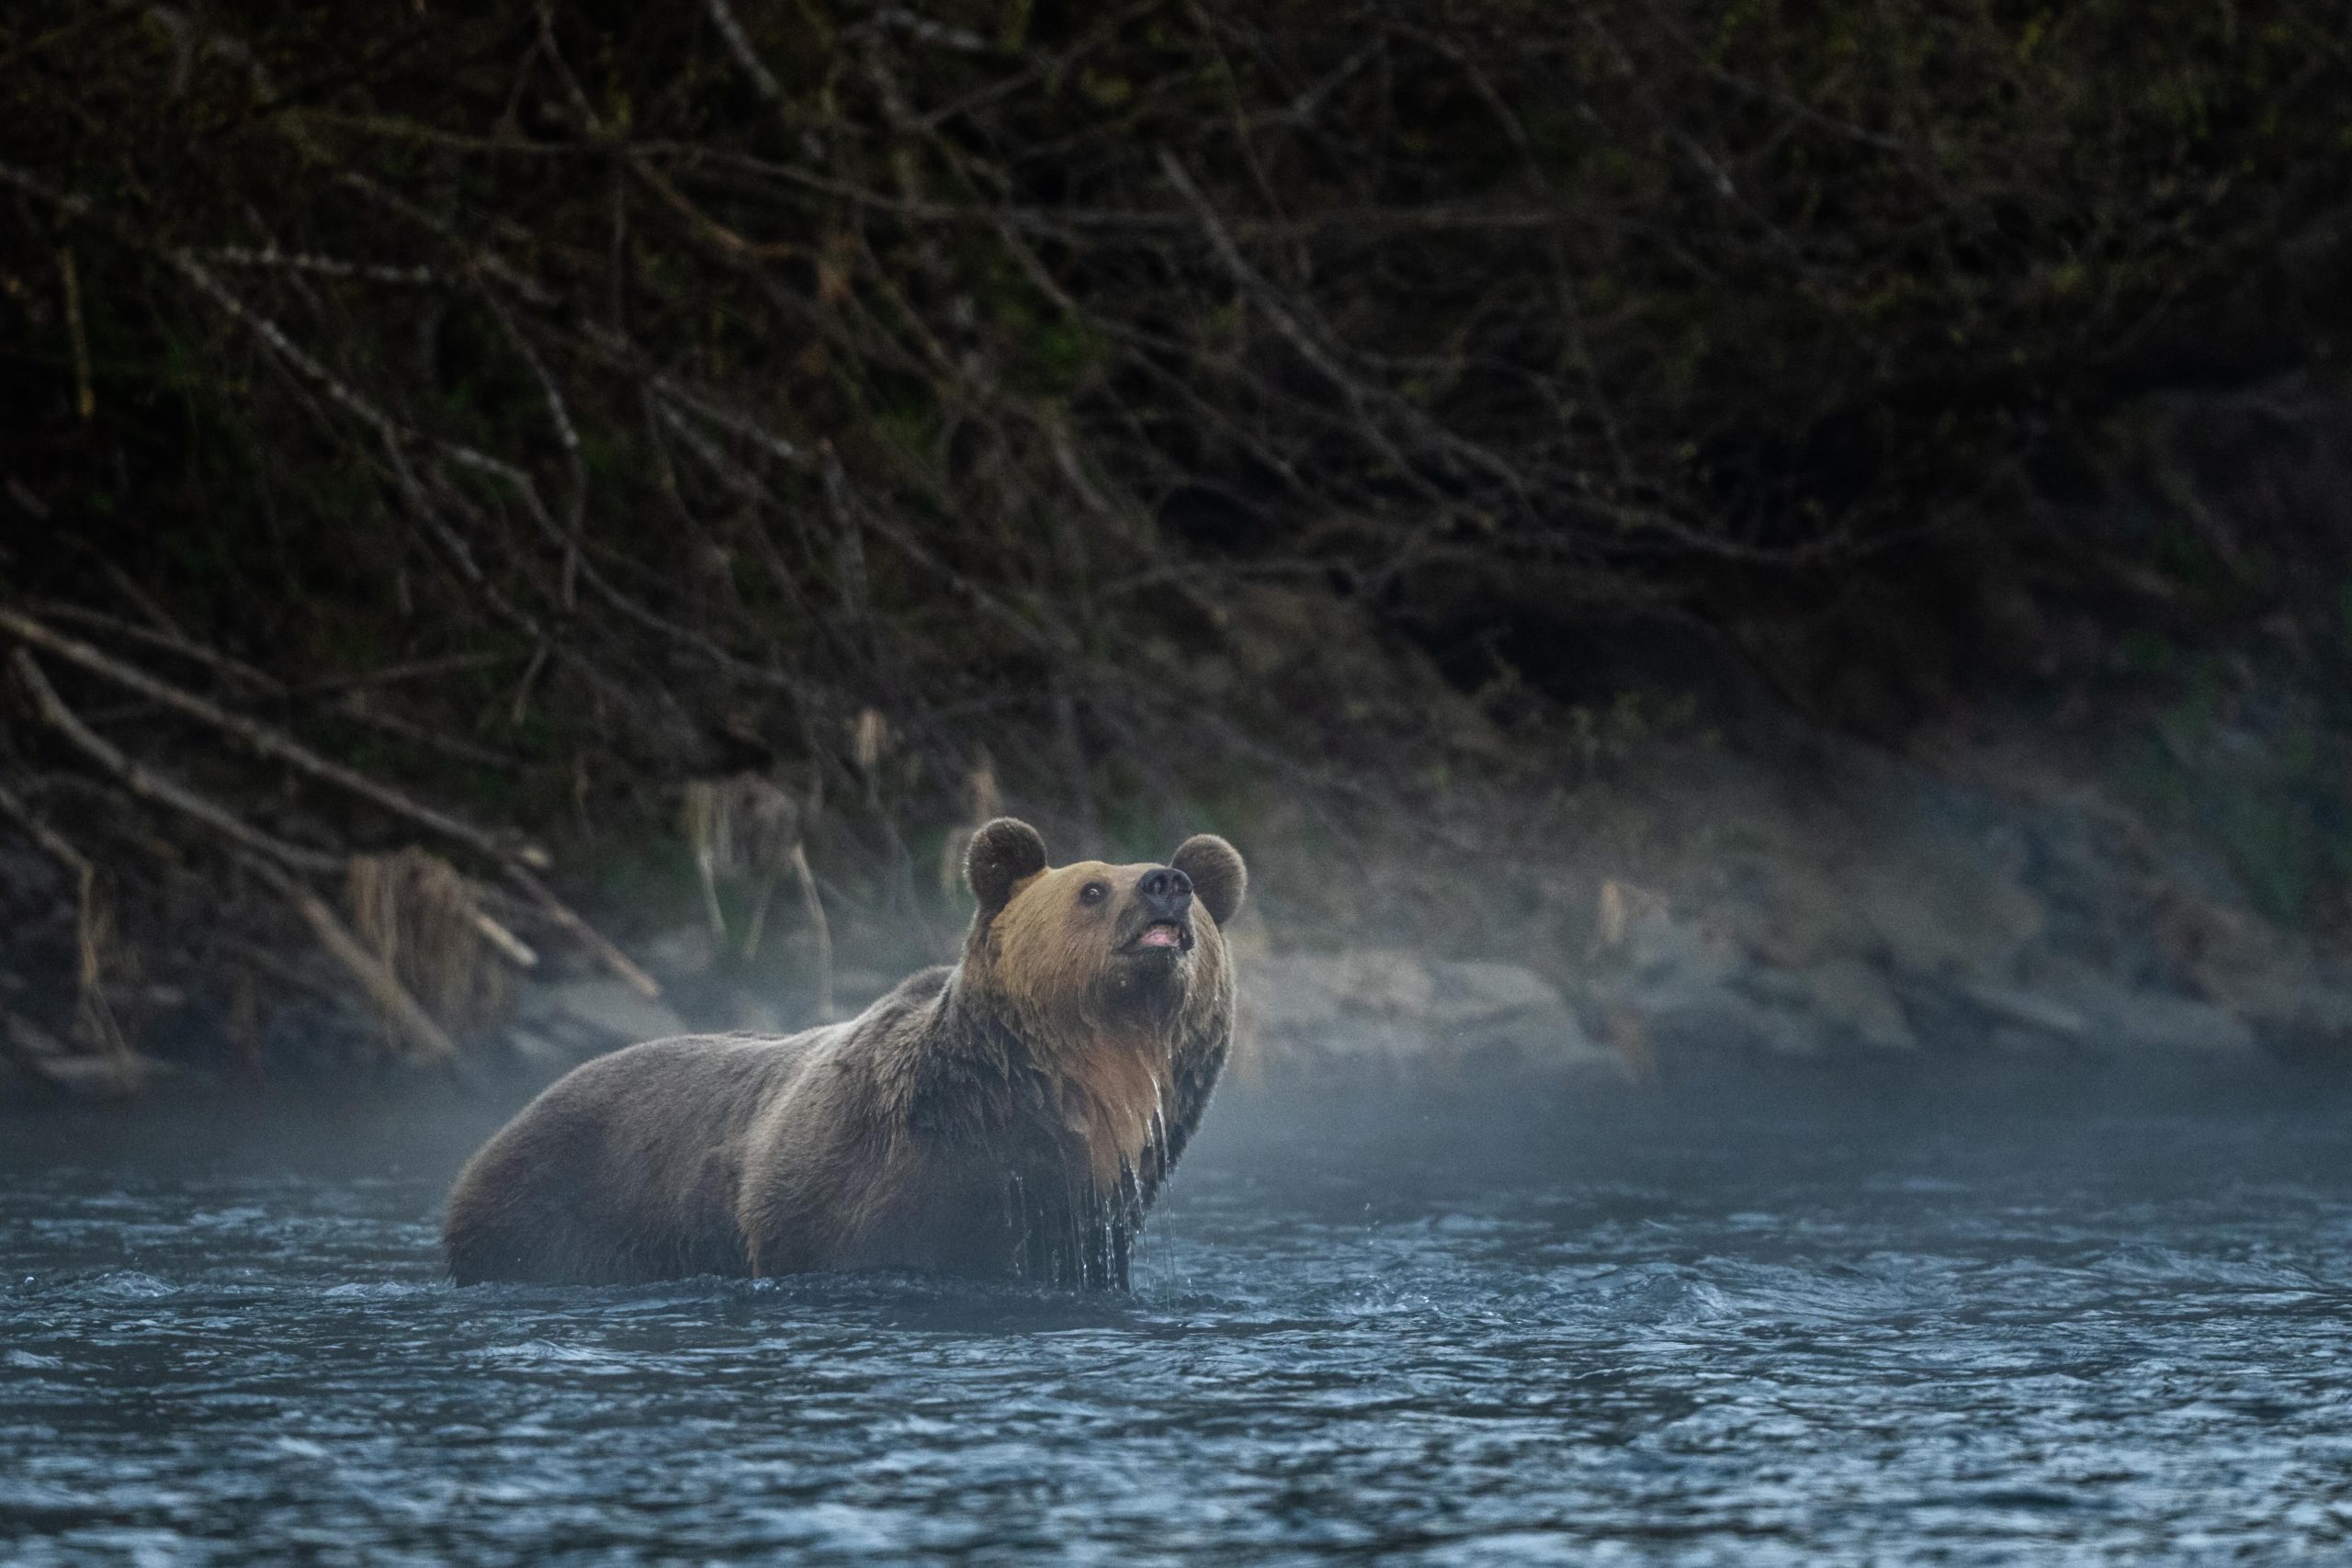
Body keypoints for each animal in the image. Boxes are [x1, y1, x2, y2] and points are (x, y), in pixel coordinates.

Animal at [442, 818, 1245, 1290]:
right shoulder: (868, 1193)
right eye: (1092, 887)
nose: (1168, 884)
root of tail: (500, 1130)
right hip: (560, 1211)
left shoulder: (1082, 1226)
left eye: (1192, 890)